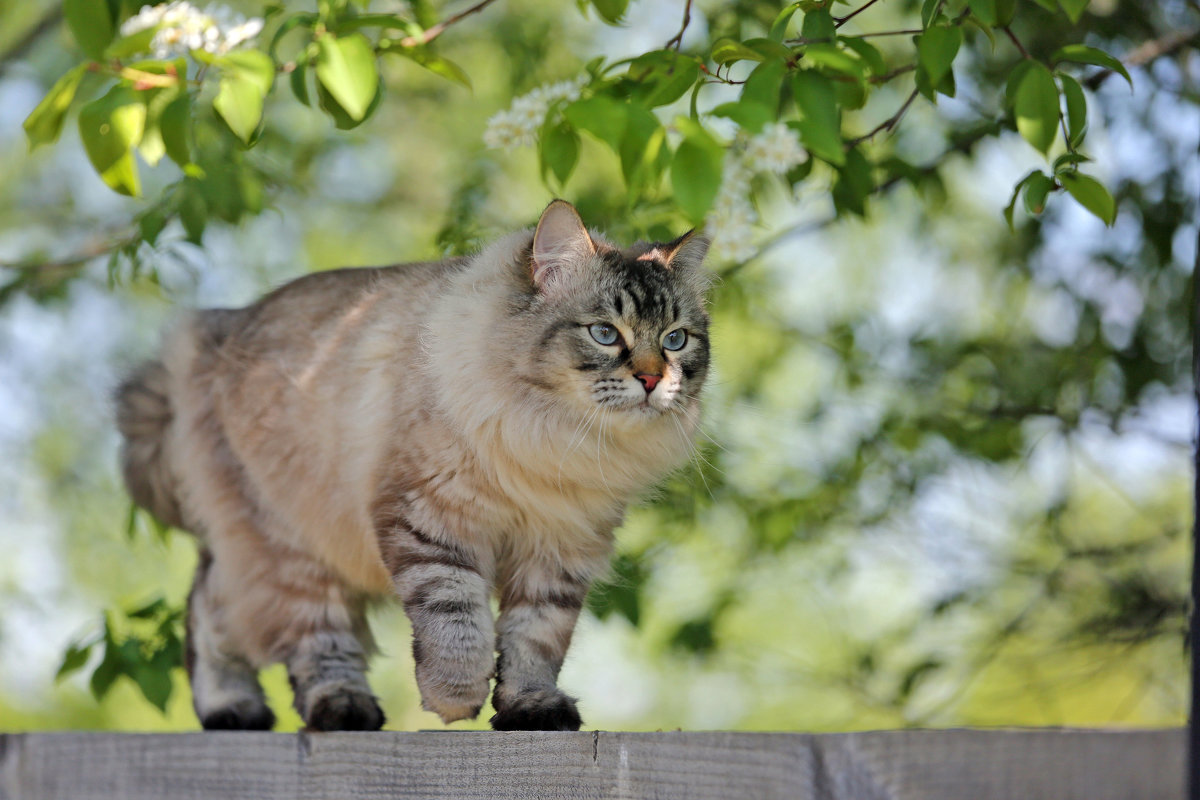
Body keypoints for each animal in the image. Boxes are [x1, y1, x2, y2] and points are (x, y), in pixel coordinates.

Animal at [115, 200, 705, 734]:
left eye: (675, 339)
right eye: (605, 333)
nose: (653, 379)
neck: (557, 441)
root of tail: (209, 331)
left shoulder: (559, 552)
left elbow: (534, 640)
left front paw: (531, 709)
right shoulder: (431, 520)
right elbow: (456, 621)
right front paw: (455, 699)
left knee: (209, 603)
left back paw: (236, 709)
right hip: (290, 546)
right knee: (291, 634)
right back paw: (326, 709)